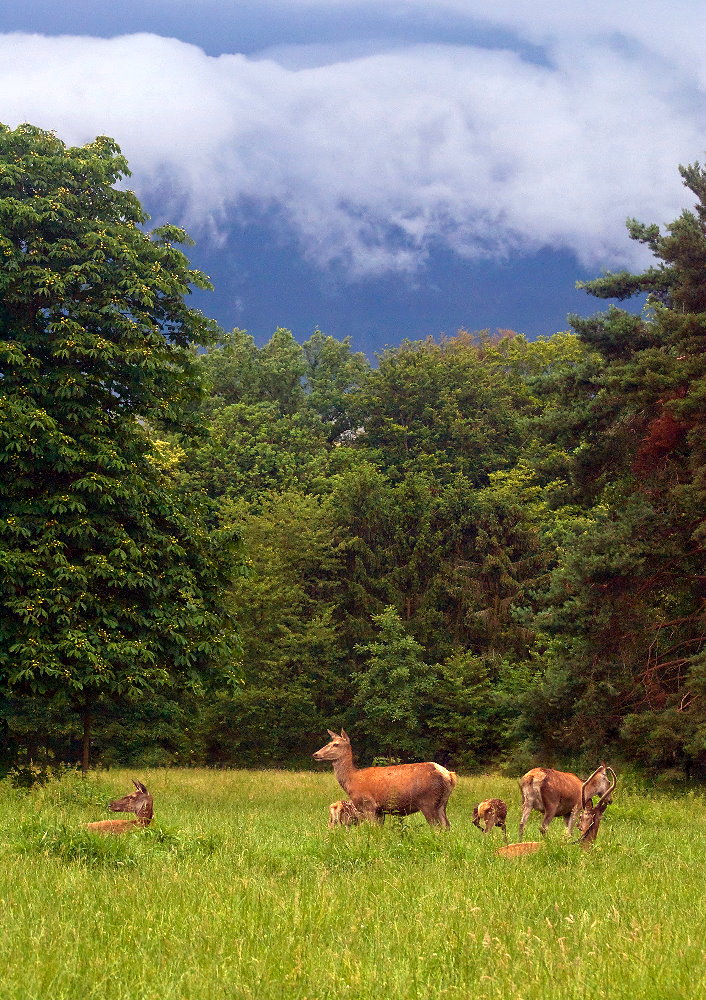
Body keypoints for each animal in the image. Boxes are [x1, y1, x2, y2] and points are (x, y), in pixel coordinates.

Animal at [310, 728, 454, 828]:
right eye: (329, 742)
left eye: (336, 744)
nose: (315, 754)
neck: (352, 779)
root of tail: (449, 775)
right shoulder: (380, 810)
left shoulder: (369, 805)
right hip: (442, 802)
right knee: (446, 825)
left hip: (428, 801)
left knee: (437, 827)